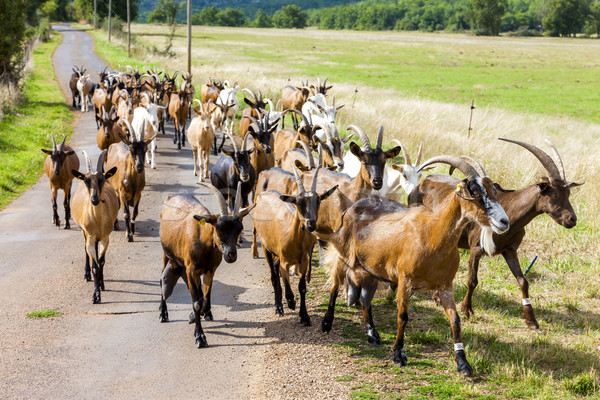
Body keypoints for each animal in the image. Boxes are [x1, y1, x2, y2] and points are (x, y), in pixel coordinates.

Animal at [71, 150, 119, 304]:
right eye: (87, 180)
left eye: (101, 179)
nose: (94, 199)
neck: (97, 220)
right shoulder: (90, 235)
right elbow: (95, 267)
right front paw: (96, 296)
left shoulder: (105, 237)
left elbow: (101, 262)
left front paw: (102, 285)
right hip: (84, 233)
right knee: (85, 250)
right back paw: (86, 275)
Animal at [158, 181, 254, 346]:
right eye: (219, 229)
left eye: (239, 229)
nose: (231, 255)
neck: (202, 239)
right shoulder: (191, 270)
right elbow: (197, 303)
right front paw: (200, 337)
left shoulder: (210, 270)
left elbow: (205, 300)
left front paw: (195, 316)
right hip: (167, 254)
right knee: (161, 278)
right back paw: (163, 313)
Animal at [322, 155, 508, 376]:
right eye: (476, 192)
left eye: (494, 190)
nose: (504, 221)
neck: (432, 234)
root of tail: (353, 206)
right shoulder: (404, 280)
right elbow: (402, 316)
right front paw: (399, 353)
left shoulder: (445, 286)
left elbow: (455, 320)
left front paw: (462, 362)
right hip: (343, 254)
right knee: (334, 285)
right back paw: (327, 323)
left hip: (370, 267)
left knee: (366, 299)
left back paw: (372, 334)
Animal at [412, 139, 580, 330]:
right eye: (553, 194)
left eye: (568, 193)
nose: (572, 219)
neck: (509, 210)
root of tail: (422, 183)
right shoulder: (476, 248)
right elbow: (472, 280)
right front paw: (467, 310)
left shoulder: (510, 250)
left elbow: (523, 281)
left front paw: (531, 320)